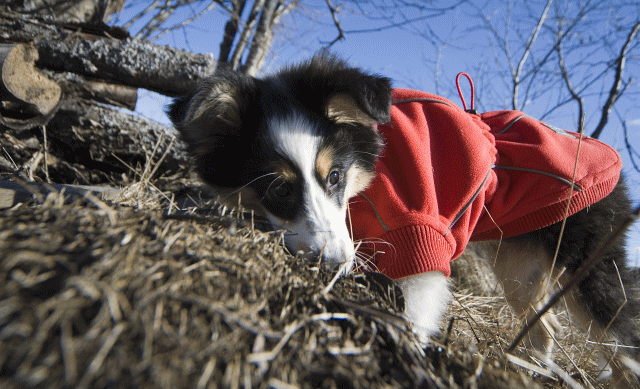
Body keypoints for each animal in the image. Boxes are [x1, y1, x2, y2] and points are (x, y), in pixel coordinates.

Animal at [169, 53, 640, 378]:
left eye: (335, 175)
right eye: (279, 189)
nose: (336, 264)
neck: (368, 180)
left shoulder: (420, 237)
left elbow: (415, 310)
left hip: (588, 261)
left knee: (621, 336)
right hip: (519, 265)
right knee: (545, 328)